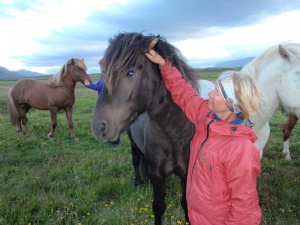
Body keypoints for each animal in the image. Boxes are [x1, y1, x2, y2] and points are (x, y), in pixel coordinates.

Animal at [91, 32, 199, 224]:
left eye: (130, 72)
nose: (98, 127)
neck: (174, 134)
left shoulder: (186, 175)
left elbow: (186, 204)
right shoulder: (156, 174)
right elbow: (158, 207)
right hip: (133, 142)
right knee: (135, 160)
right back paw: (138, 182)